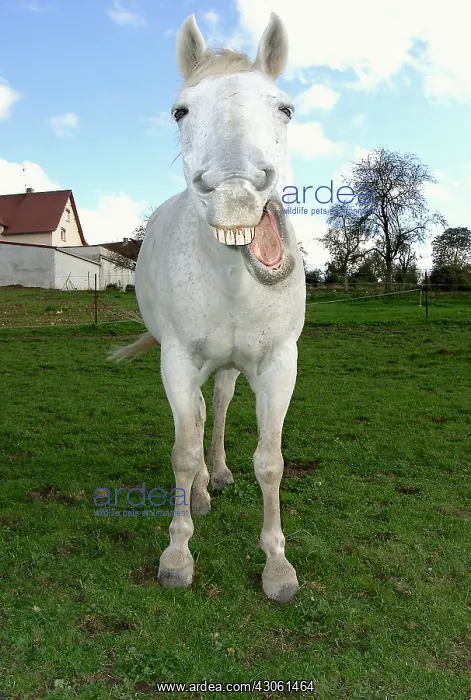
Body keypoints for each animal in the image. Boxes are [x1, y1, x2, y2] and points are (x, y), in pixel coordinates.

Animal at [110, 12, 306, 603]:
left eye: (285, 108)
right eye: (181, 110)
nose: (235, 192)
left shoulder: (279, 365)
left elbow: (270, 462)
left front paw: (277, 567)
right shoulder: (176, 360)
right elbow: (181, 451)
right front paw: (177, 555)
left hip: (229, 368)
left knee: (215, 410)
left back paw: (215, 475)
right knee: (196, 418)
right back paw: (199, 492)